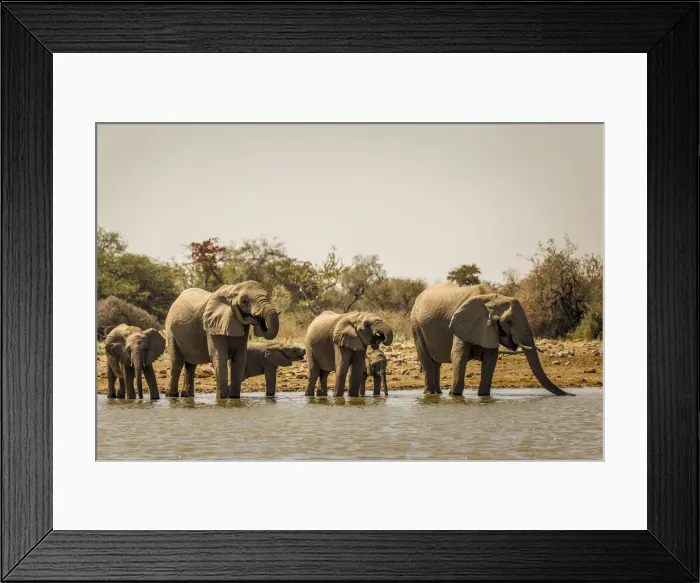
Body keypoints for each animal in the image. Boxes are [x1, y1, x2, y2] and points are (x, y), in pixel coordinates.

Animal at [410, 283, 571, 397]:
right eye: (508, 321)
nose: (570, 394)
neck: (492, 299)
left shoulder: (488, 328)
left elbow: (490, 360)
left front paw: (483, 396)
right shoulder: (462, 323)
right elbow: (459, 357)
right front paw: (454, 396)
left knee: (435, 363)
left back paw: (437, 394)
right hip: (416, 325)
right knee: (428, 363)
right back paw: (429, 394)